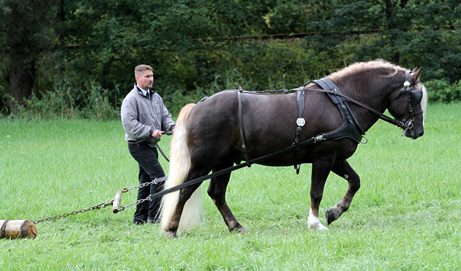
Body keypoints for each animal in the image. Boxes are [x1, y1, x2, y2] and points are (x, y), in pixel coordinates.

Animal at [160, 60, 426, 238]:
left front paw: (335, 212)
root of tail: (198, 106)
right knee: (184, 191)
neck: (343, 102)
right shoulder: (323, 157)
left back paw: (235, 226)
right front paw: (315, 223)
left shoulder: (336, 157)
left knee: (216, 193)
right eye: (414, 97)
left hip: (224, 163)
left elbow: (355, 181)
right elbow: (316, 191)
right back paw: (172, 228)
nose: (418, 131)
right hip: (204, 163)